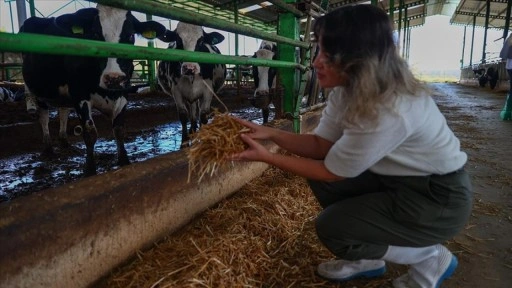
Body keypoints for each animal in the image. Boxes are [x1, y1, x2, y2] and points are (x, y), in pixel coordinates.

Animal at [20, 4, 166, 176]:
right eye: (95, 34)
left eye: (130, 35)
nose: (114, 78)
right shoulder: (79, 95)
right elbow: (90, 133)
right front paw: (89, 170)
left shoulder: (123, 94)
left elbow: (119, 130)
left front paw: (124, 161)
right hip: (38, 90)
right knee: (44, 117)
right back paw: (49, 148)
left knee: (63, 112)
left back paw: (64, 141)